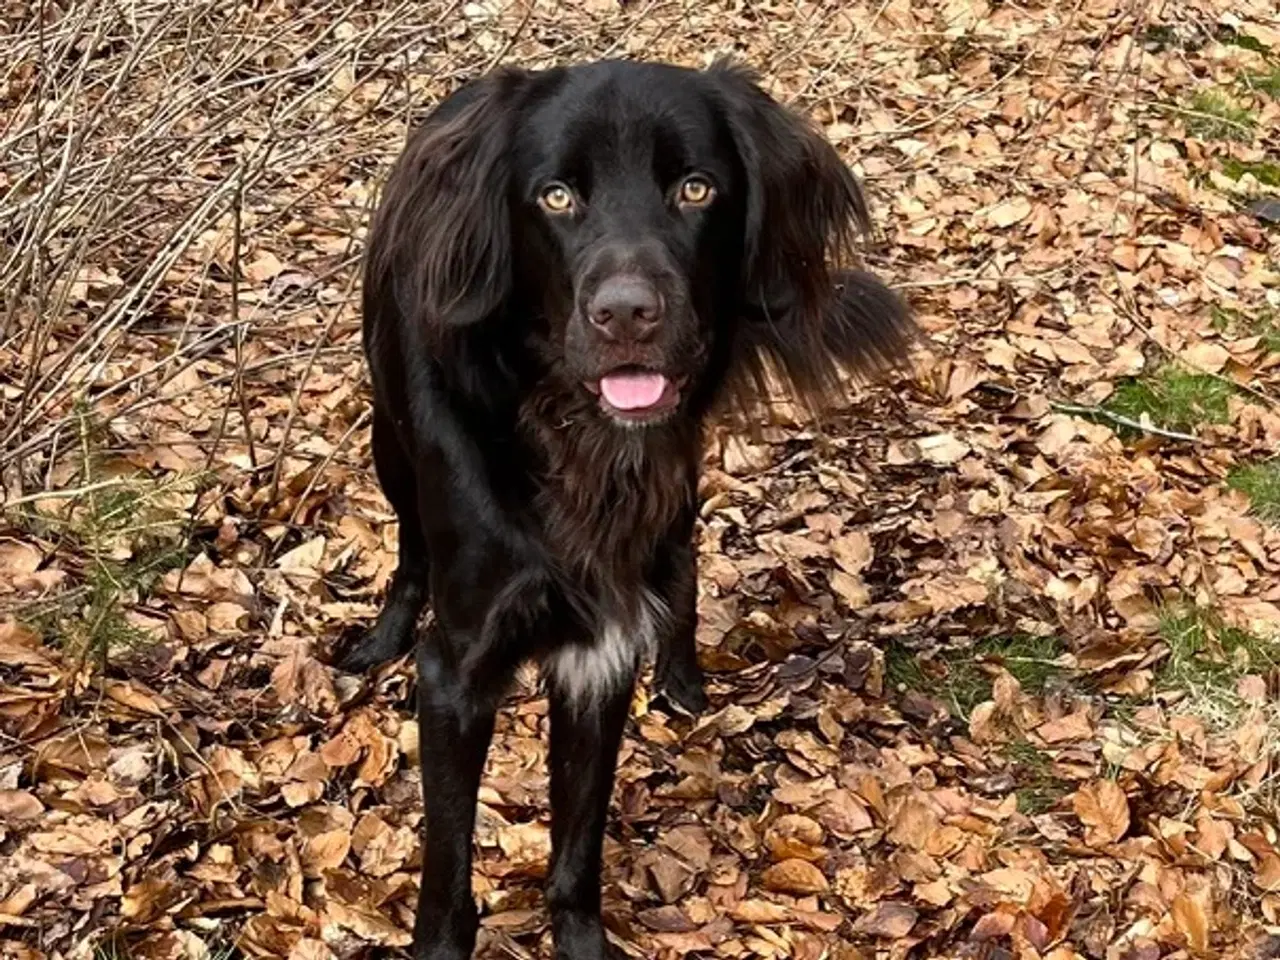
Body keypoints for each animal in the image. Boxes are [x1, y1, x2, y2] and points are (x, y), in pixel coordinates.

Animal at [343, 58, 911, 957]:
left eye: (695, 188)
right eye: (555, 197)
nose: (625, 315)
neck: (574, 444)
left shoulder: (599, 652)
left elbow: (578, 847)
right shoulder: (458, 675)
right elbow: (448, 876)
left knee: (681, 562)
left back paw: (680, 675)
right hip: (388, 444)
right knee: (409, 544)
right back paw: (382, 635)